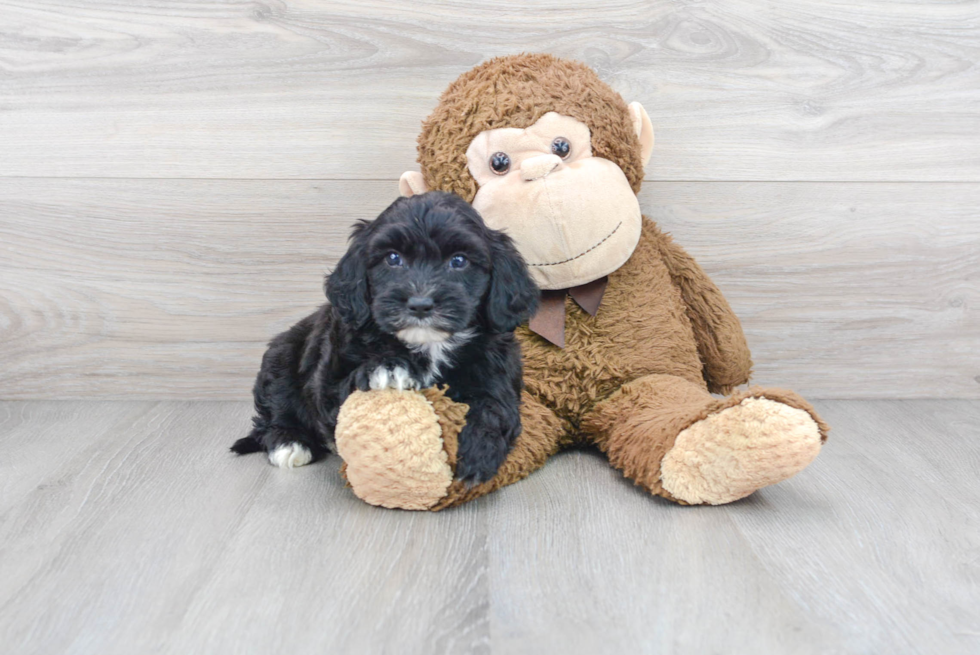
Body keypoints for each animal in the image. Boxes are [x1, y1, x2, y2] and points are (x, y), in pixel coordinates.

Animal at [232, 192, 536, 484]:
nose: (420, 304)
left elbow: (494, 407)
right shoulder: (330, 374)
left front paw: (476, 455)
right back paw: (289, 442)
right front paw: (388, 367)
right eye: (392, 258)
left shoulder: (496, 367)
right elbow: (338, 394)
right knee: (276, 408)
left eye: (459, 261)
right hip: (281, 356)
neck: (428, 344)